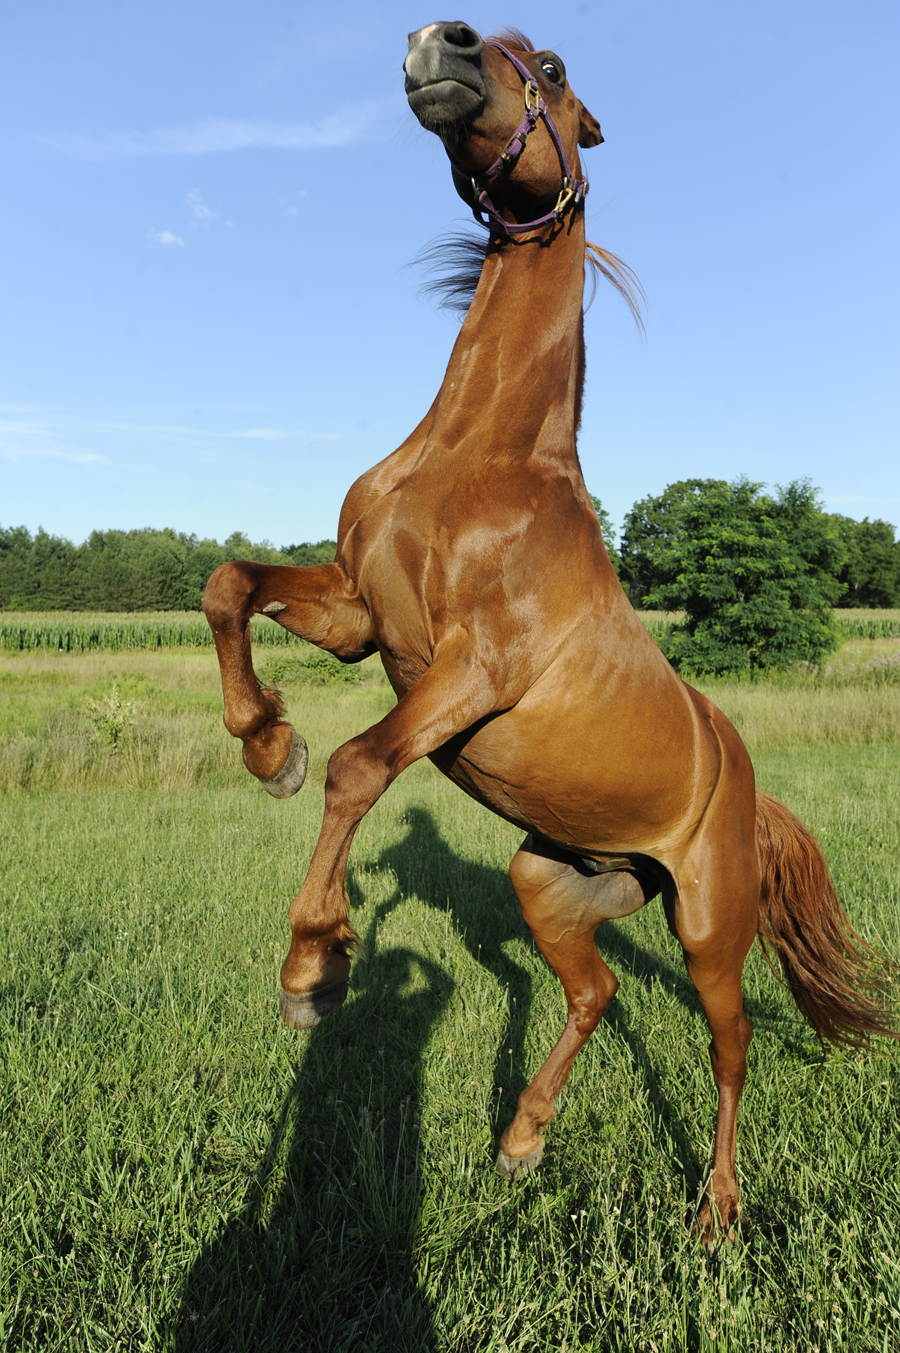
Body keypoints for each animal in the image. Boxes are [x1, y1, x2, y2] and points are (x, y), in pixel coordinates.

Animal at [200, 23, 893, 1244]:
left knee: (730, 1047)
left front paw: (313, 968)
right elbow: (233, 584)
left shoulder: (473, 670)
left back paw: (717, 1212)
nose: (440, 44)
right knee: (596, 990)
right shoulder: (359, 615)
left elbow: (360, 765)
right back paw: (521, 1139)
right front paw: (266, 746)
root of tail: (749, 788)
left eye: (557, 70)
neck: (478, 463)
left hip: (710, 928)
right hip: (551, 882)